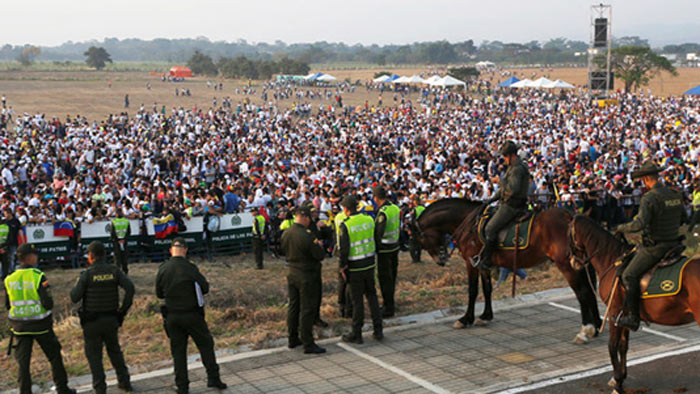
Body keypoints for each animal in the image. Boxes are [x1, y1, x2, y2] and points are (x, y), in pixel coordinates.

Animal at [416, 199, 600, 344]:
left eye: (420, 238)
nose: (441, 259)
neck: (468, 223)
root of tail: (570, 216)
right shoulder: (483, 264)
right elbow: (487, 289)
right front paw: (485, 316)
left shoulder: (471, 263)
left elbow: (473, 291)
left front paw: (465, 319)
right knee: (590, 290)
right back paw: (596, 326)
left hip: (568, 266)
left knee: (583, 292)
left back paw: (585, 330)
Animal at [568, 215, 700, 394]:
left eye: (568, 234)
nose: (572, 262)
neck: (612, 260)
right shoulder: (625, 315)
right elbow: (623, 346)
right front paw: (620, 379)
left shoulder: (614, 312)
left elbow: (612, 346)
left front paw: (617, 382)